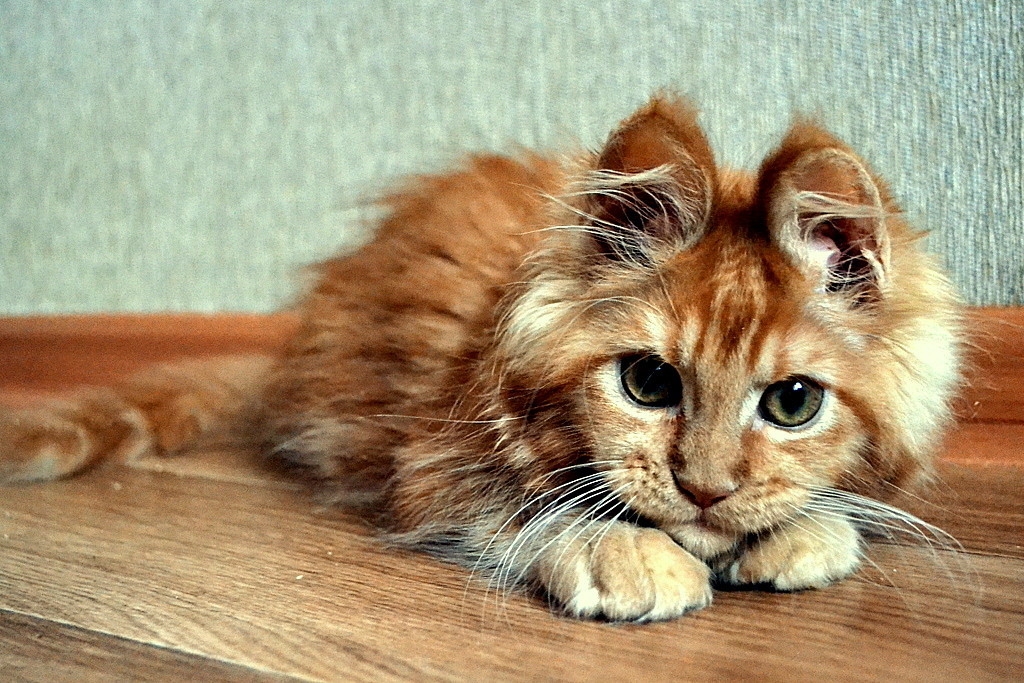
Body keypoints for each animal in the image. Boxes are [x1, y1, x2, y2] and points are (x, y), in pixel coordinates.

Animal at [0, 96, 958, 626]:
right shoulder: (432, 463)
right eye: (649, 382)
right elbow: (527, 509)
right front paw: (621, 550)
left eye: (794, 401)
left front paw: (808, 528)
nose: (706, 488)